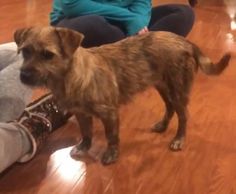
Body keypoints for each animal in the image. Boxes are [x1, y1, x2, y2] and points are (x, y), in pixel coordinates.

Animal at [13, 26, 230, 164]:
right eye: (25, 51)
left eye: (48, 55)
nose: (23, 75)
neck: (69, 77)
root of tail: (186, 42)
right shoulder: (82, 114)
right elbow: (86, 133)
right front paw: (84, 147)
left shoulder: (109, 114)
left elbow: (112, 137)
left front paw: (111, 155)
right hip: (162, 85)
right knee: (169, 107)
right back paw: (162, 125)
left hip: (178, 89)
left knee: (184, 115)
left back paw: (179, 139)